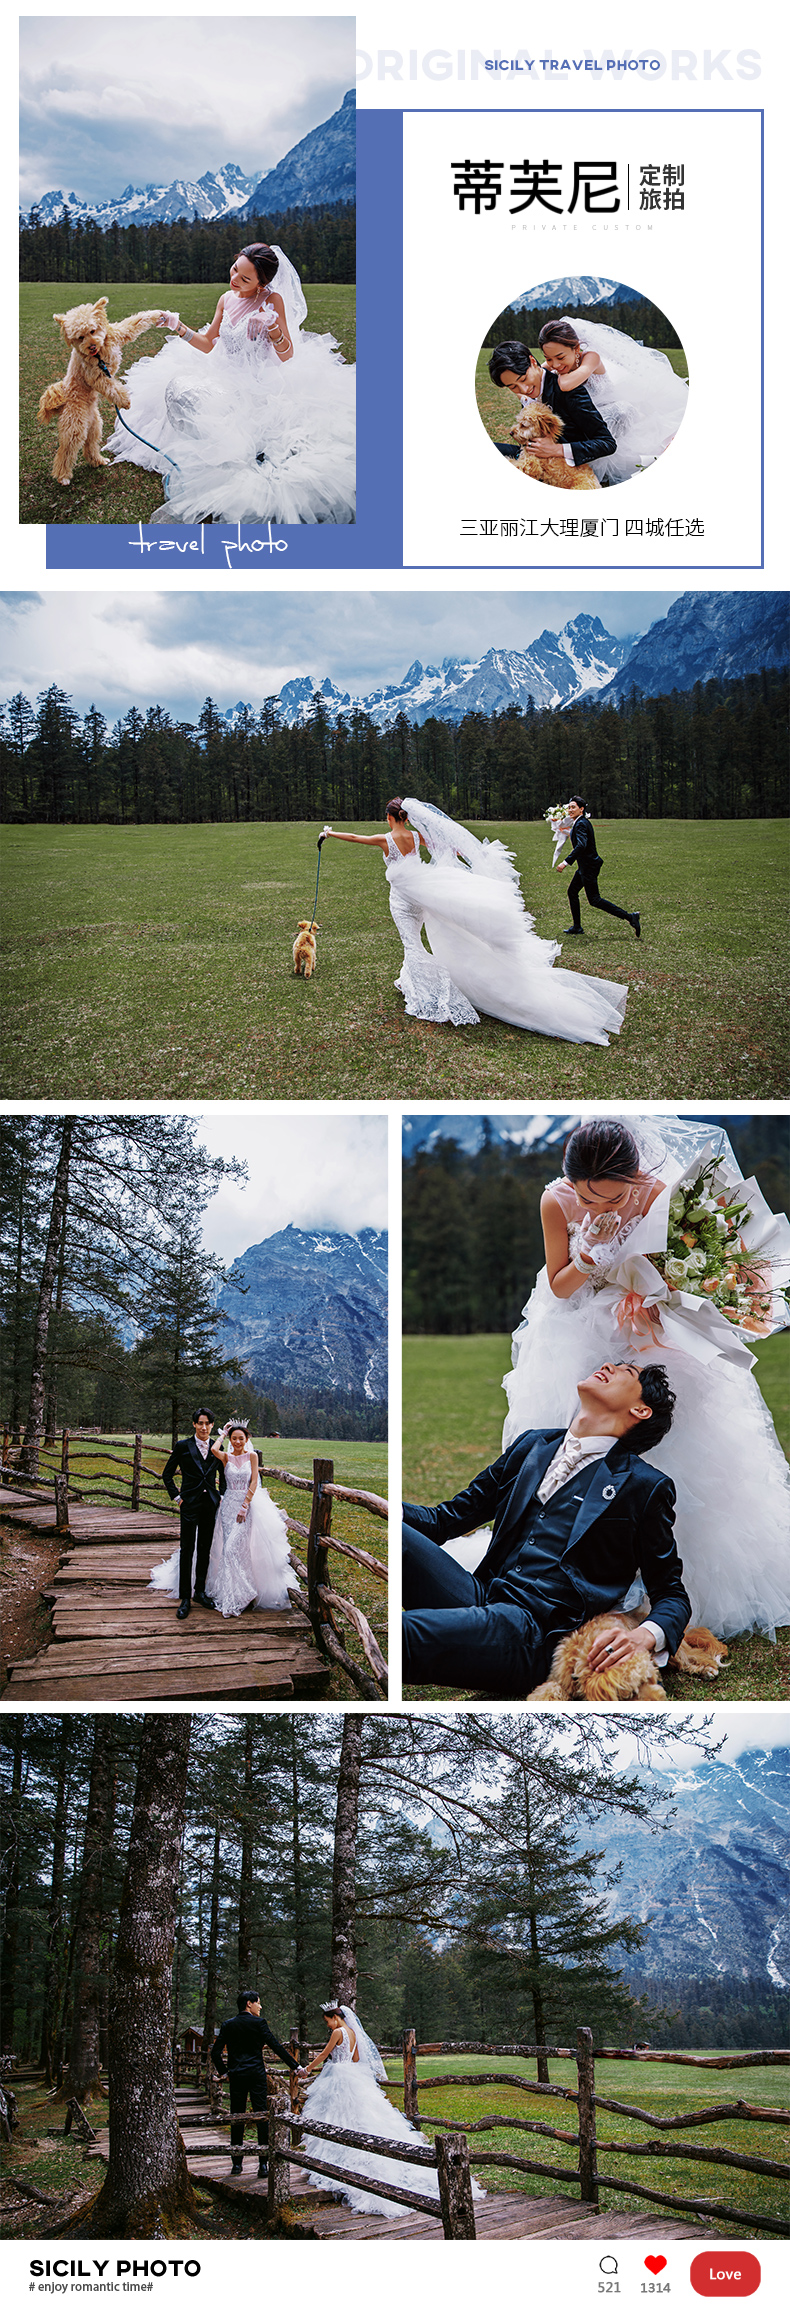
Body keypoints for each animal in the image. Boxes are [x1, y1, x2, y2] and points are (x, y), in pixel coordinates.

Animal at [37, 295, 170, 485]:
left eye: (92, 331)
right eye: (80, 337)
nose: (91, 346)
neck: (99, 354)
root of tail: (63, 398)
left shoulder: (117, 334)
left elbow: (134, 322)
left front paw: (157, 315)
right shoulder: (95, 376)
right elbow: (112, 388)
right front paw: (125, 401)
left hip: (94, 426)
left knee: (90, 446)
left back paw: (98, 461)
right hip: (75, 425)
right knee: (66, 450)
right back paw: (63, 477)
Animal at [526, 1617, 729, 1709]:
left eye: (651, 1679)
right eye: (629, 1695)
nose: (659, 1701)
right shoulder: (558, 1677)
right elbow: (547, 1691)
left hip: (672, 1646)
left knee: (690, 1655)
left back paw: (706, 1668)